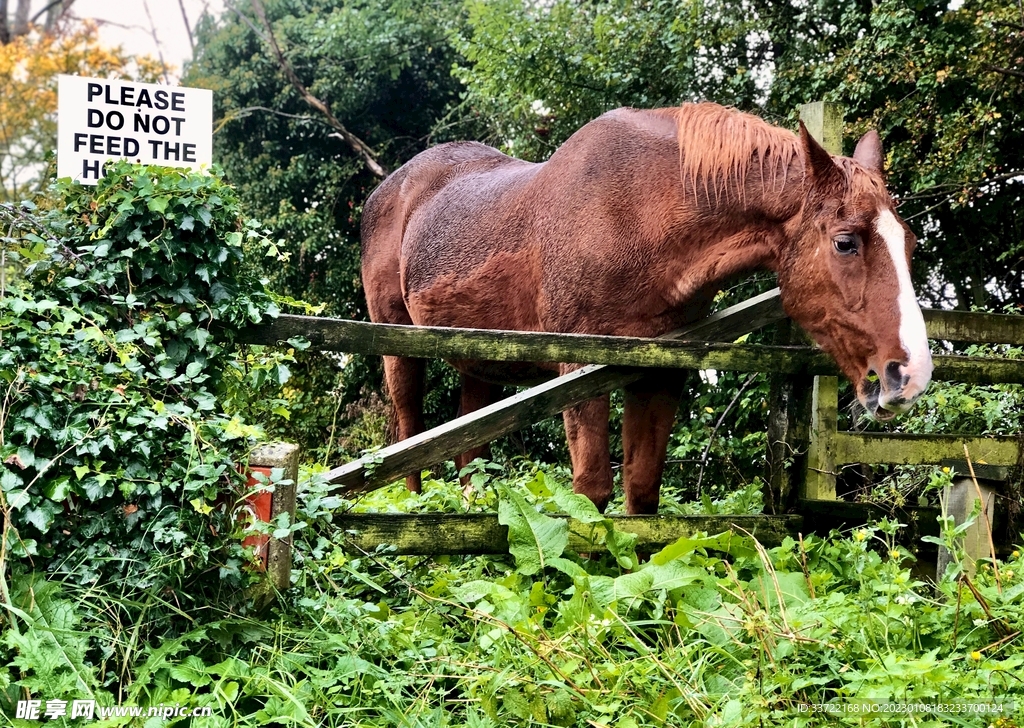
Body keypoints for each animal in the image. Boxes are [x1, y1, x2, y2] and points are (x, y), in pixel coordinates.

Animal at [360, 102, 933, 514]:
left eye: (909, 243)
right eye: (845, 242)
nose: (911, 374)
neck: (635, 217)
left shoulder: (658, 374)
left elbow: (641, 492)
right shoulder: (579, 372)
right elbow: (592, 492)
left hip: (481, 361)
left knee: (468, 456)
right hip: (397, 345)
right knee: (408, 441)